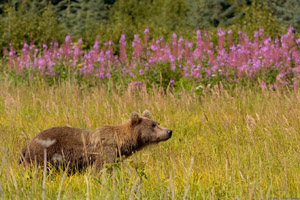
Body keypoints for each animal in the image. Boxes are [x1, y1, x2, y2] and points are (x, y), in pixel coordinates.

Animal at [19, 110, 172, 171]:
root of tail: (28, 144)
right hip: (41, 155)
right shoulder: (106, 149)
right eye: (153, 125)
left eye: (157, 122)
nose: (169, 131)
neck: (121, 141)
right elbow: (101, 167)